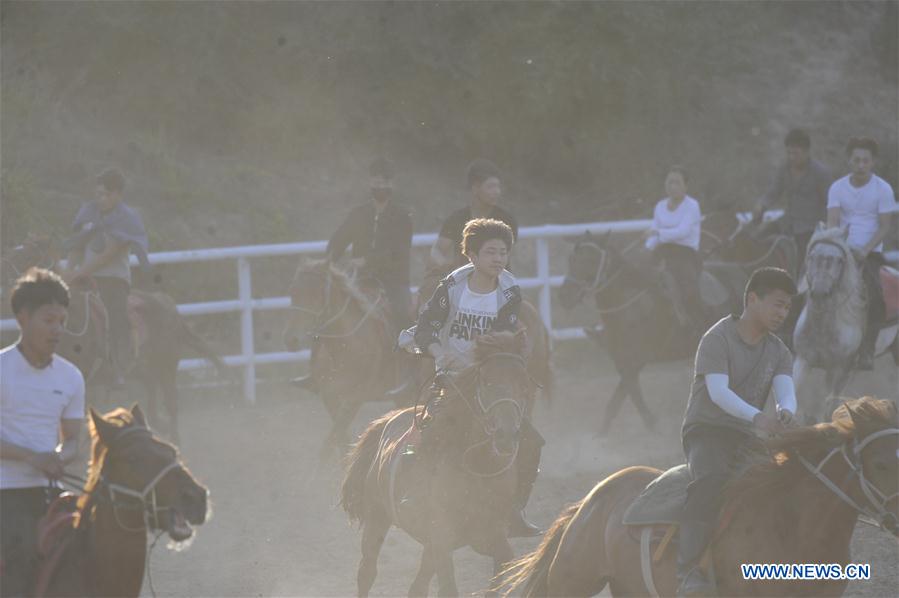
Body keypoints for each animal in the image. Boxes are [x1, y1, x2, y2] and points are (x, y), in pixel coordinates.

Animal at [338, 330, 536, 596]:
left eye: (524, 385)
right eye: (487, 381)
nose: (506, 435)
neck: (479, 470)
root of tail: (387, 421)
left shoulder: (489, 536)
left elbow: (500, 570)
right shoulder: (443, 536)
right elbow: (449, 587)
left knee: (417, 586)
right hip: (377, 518)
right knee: (367, 572)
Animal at [796, 223, 899, 424]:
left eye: (839, 260)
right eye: (811, 256)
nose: (820, 293)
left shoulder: (838, 369)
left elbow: (828, 408)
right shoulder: (802, 361)